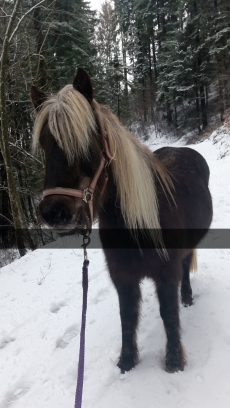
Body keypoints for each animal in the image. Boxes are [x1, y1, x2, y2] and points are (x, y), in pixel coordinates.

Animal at [30, 68, 212, 374]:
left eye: (86, 140)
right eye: (44, 143)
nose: (54, 212)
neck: (136, 225)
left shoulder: (166, 273)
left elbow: (168, 314)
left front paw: (174, 361)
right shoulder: (122, 276)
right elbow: (127, 316)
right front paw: (127, 360)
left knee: (187, 265)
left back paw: (187, 296)